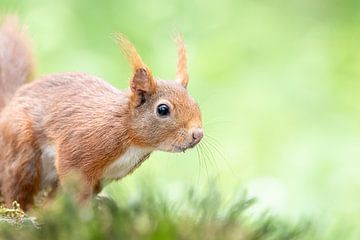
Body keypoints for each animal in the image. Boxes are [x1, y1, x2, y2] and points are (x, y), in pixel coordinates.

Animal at [0, 16, 202, 210]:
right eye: (163, 109)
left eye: (195, 103)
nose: (198, 134)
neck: (131, 138)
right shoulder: (79, 150)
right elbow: (77, 188)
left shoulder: (107, 175)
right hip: (22, 147)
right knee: (17, 186)